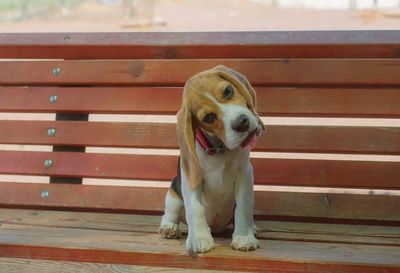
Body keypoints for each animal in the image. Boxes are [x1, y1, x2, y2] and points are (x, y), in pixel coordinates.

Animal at [159, 65, 266, 252]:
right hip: (173, 195)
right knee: (170, 213)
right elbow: (195, 208)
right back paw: (169, 227)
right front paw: (199, 238)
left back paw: (252, 228)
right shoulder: (191, 178)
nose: (242, 122)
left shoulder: (244, 174)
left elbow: (244, 208)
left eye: (228, 90)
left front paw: (244, 237)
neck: (220, 149)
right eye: (208, 117)